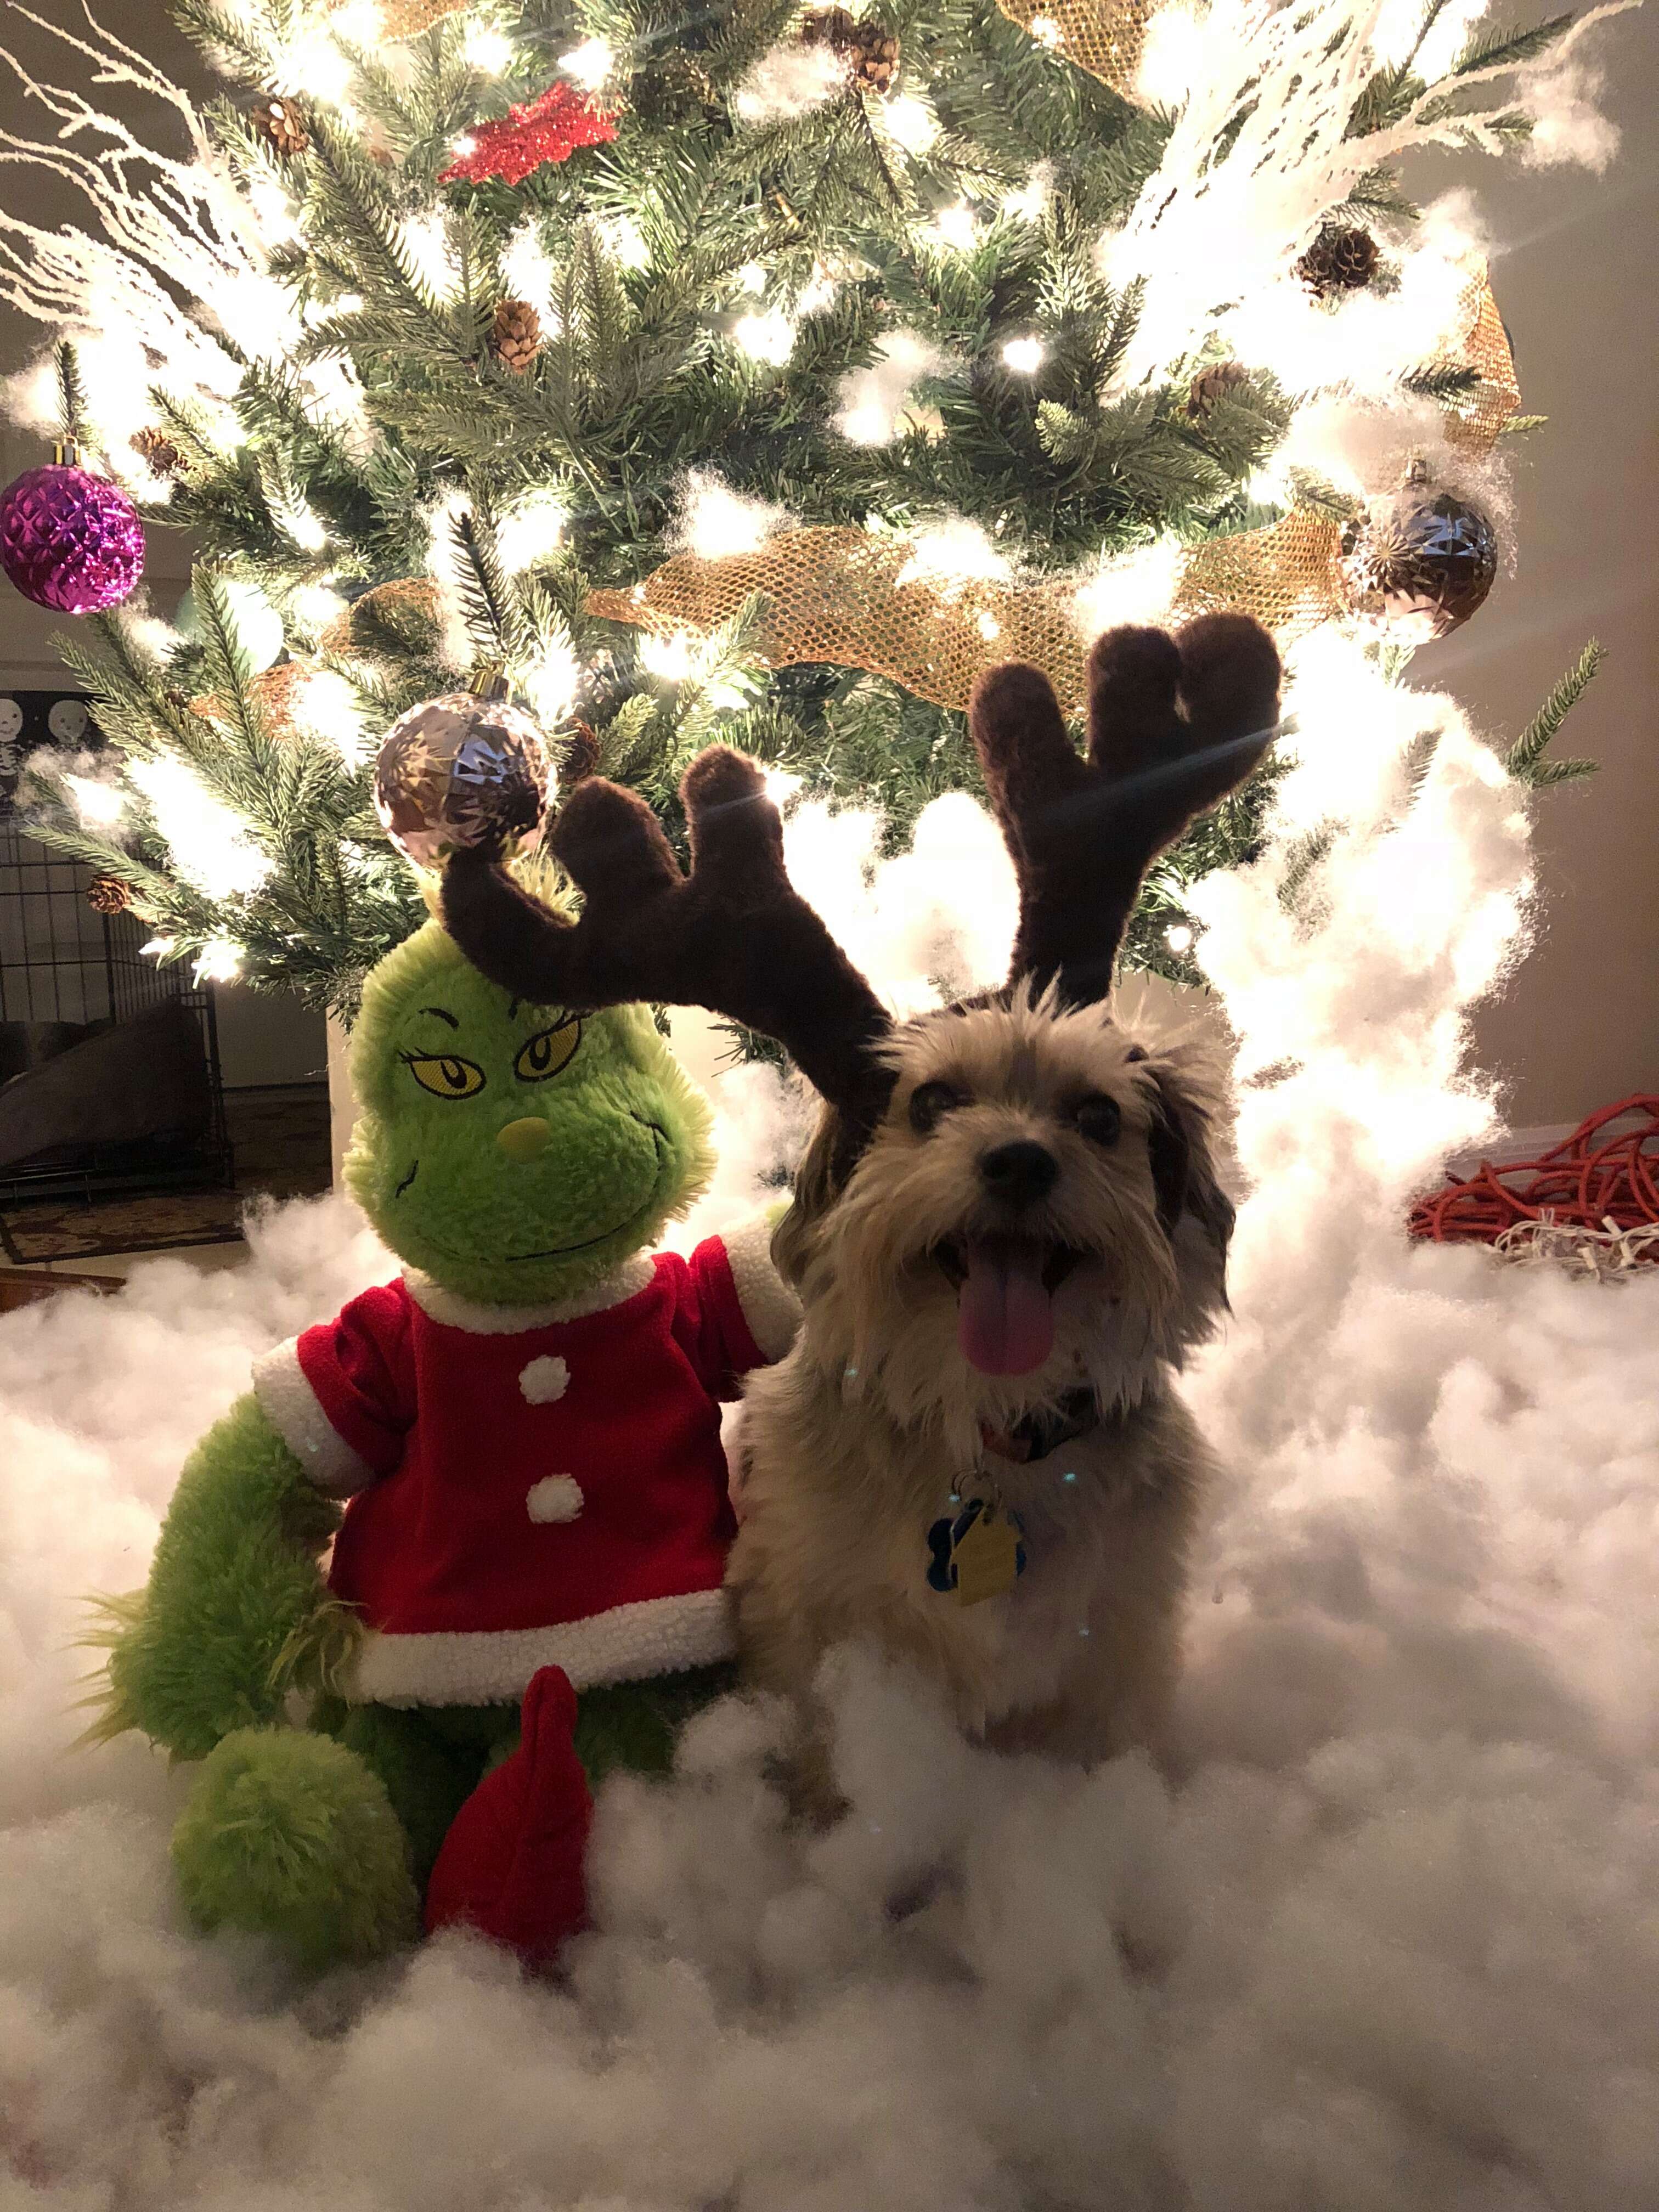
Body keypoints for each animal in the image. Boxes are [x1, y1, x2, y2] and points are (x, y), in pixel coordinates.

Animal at [444, 610, 1283, 1778]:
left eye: (1095, 1115)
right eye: (929, 1101)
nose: (1018, 1161)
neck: (987, 1440)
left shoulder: (1112, 1647)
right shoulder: (803, 1622)